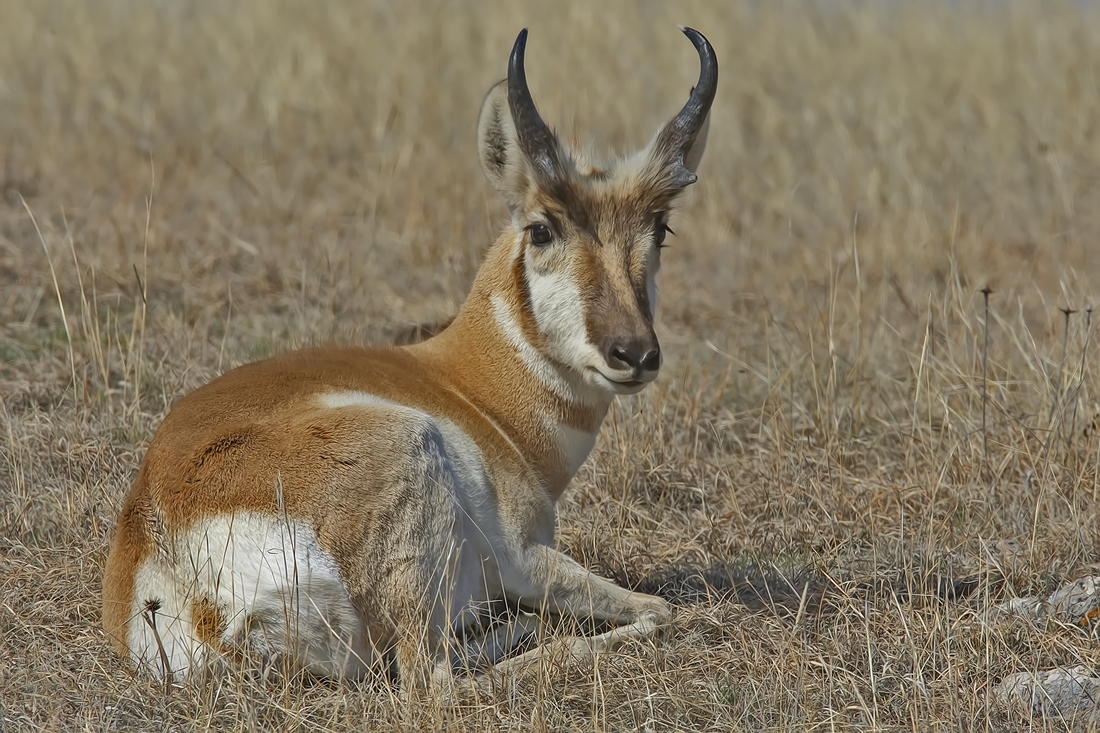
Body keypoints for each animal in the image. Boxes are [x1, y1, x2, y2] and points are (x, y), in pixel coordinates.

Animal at [101, 25, 721, 682]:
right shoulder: (529, 558)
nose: (634, 353)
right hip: (415, 458)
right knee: (436, 679)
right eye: (541, 228)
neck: (472, 389)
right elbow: (661, 609)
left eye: (660, 228)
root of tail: (161, 541)